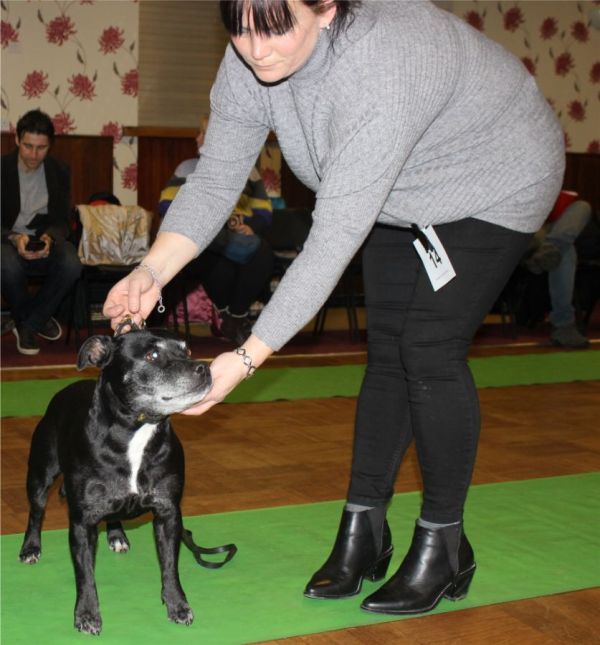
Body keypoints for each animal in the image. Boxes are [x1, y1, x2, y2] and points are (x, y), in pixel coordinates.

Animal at [19, 329, 212, 635]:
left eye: (188, 350)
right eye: (152, 355)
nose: (204, 367)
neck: (138, 430)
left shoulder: (168, 514)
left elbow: (170, 566)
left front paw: (177, 604)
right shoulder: (82, 523)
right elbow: (85, 574)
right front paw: (87, 614)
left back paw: (116, 535)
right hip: (40, 475)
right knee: (36, 512)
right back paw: (30, 548)